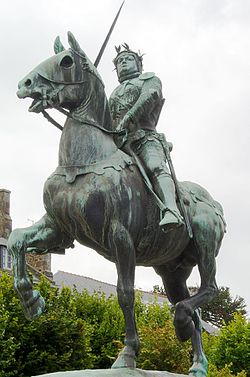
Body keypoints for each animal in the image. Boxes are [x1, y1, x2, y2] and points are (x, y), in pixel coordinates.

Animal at [8, 32, 226, 376]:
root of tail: (213, 202)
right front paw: (32, 300)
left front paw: (127, 354)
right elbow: (17, 240)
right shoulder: (58, 229)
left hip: (204, 246)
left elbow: (125, 294)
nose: (25, 83)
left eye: (67, 61)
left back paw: (181, 327)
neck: (82, 163)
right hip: (172, 270)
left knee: (209, 290)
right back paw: (197, 363)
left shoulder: (120, 236)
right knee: (193, 310)